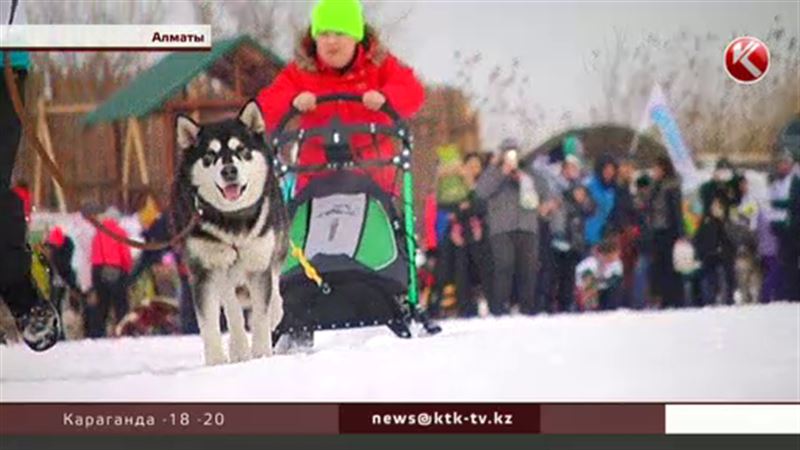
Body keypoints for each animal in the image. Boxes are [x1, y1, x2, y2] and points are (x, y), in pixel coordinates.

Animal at [173, 102, 290, 366]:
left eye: (242, 150)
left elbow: (261, 313)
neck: (232, 221)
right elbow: (210, 322)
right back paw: (238, 347)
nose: (229, 171)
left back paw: (275, 312)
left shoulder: (259, 261)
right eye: (210, 156)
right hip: (223, 270)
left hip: (275, 243)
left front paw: (262, 353)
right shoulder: (204, 270)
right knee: (231, 305)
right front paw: (216, 361)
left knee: (274, 278)